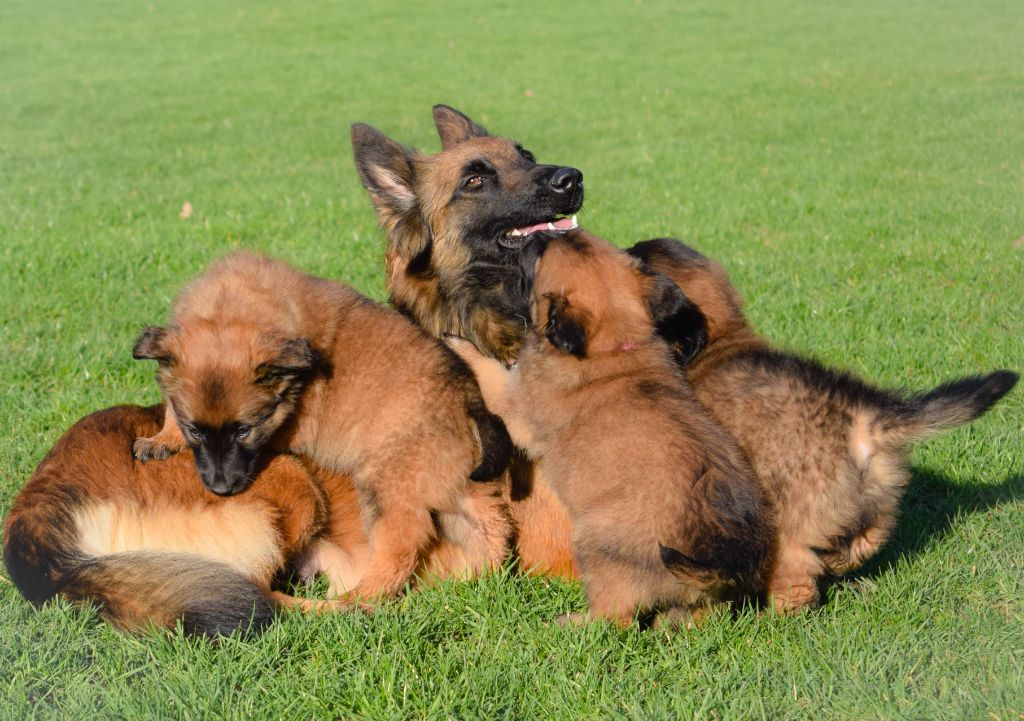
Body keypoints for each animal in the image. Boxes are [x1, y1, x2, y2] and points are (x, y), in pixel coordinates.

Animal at [132, 250, 512, 606]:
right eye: (195, 430)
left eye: (244, 431)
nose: (221, 489)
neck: (230, 306)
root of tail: (468, 394)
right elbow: (171, 405)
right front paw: (162, 437)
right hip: (449, 477)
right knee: (487, 514)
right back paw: (489, 561)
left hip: (387, 481)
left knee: (403, 542)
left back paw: (362, 597)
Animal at [448, 231, 774, 626]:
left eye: (539, 255)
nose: (539, 233)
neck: (614, 345)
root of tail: (716, 563)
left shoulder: (516, 403)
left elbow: (492, 374)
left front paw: (459, 344)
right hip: (704, 603)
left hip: (596, 547)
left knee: (613, 616)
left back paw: (571, 622)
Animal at [626, 239, 1019, 610]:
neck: (723, 338)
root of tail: (865, 418)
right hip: (881, 495)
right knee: (867, 539)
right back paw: (838, 559)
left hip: (792, 517)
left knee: (796, 576)